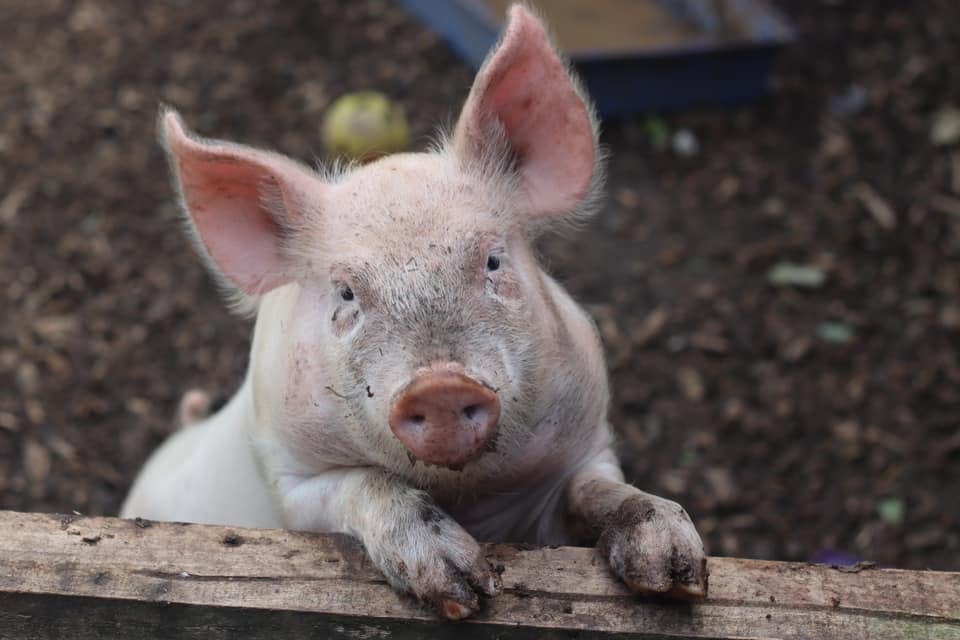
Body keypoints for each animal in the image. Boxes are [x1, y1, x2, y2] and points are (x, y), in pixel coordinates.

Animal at [121, 3, 707, 619]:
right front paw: (463, 591)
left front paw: (675, 570)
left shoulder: (589, 444)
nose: (441, 385)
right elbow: (364, 485)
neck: (470, 492)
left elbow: (601, 490)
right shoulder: (288, 483)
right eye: (346, 294)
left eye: (493, 259)